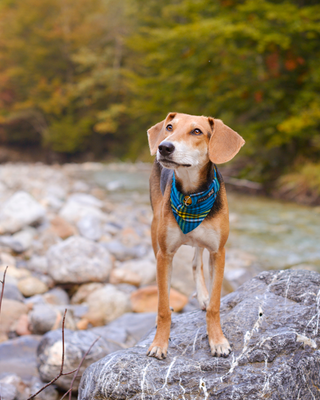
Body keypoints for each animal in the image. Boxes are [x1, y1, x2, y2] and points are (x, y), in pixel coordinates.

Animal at [146, 111, 244, 360]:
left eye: (197, 131)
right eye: (169, 127)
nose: (164, 147)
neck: (192, 196)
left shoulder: (218, 252)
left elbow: (215, 305)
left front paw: (217, 340)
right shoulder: (165, 254)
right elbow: (163, 307)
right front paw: (159, 343)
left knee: (195, 261)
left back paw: (203, 295)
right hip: (155, 229)